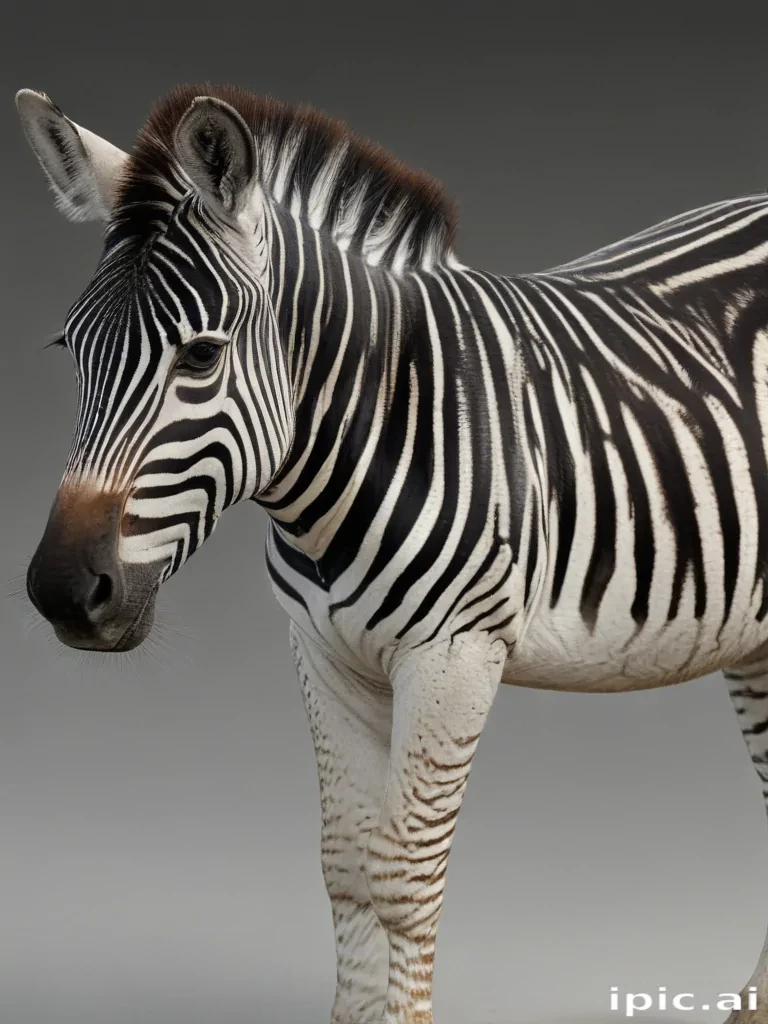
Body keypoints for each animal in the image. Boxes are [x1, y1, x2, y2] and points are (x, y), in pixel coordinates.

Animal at [14, 81, 768, 1024]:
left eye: (201, 355)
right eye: (69, 348)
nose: (62, 589)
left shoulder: (456, 655)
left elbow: (402, 880)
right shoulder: (324, 653)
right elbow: (346, 871)